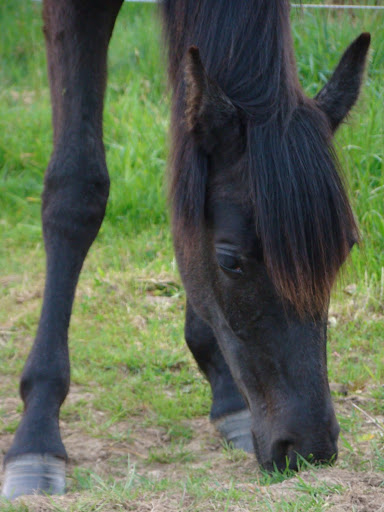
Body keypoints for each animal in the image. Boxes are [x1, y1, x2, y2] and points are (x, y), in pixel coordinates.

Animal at [2, 0, 368, 500]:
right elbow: (76, 189)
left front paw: (225, 391)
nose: (309, 448)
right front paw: (36, 435)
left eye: (347, 249)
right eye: (230, 260)